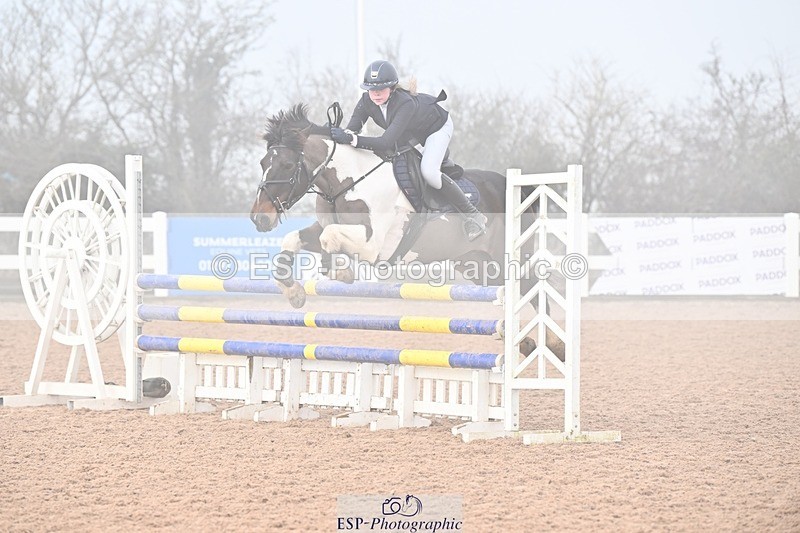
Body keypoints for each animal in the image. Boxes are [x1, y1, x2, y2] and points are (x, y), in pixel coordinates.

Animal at [249, 104, 564, 359]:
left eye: (287, 164)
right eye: (262, 163)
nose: (259, 218)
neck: (348, 182)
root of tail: (514, 186)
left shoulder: (373, 245)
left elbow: (330, 238)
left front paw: (340, 271)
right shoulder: (325, 228)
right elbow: (296, 239)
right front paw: (294, 293)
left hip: (507, 259)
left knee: (534, 290)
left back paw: (553, 345)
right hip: (480, 267)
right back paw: (524, 343)